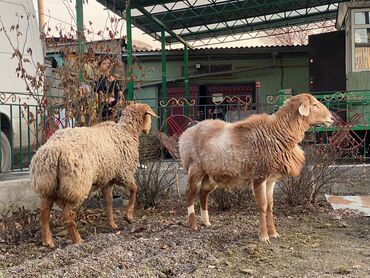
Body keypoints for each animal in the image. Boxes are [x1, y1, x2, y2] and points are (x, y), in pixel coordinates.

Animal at [31, 102, 157, 248]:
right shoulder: (123, 173)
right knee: (68, 214)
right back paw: (77, 240)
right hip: (77, 186)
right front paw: (128, 216)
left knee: (44, 212)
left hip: (47, 185)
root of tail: (54, 150)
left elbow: (109, 202)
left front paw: (112, 224)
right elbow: (134, 189)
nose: (148, 130)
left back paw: (48, 241)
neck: (126, 131)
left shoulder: (107, 181)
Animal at [178, 93, 334, 243]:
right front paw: (263, 236)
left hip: (210, 174)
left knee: (203, 193)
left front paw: (274, 233)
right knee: (190, 194)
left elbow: (270, 206)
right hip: (195, 168)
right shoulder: (259, 177)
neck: (278, 132)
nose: (331, 118)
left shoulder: (271, 179)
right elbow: (263, 206)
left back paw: (206, 222)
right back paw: (193, 225)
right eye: (314, 105)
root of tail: (186, 133)